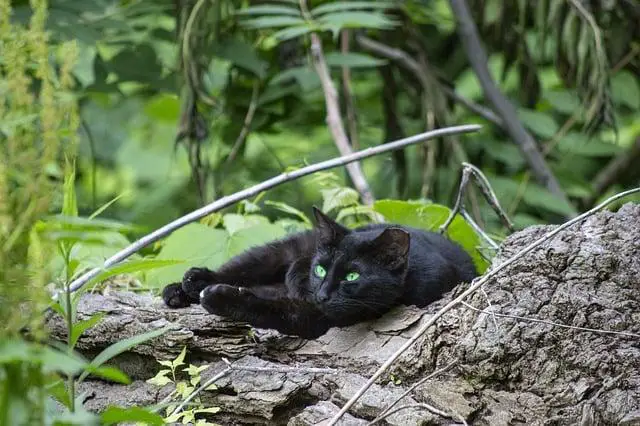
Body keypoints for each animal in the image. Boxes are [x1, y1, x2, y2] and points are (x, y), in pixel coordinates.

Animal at [162, 207, 478, 340]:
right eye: (321, 268)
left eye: (352, 277)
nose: (322, 293)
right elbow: (293, 274)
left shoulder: (320, 317)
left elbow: (273, 309)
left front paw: (221, 299)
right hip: (279, 250)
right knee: (241, 267)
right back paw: (184, 286)